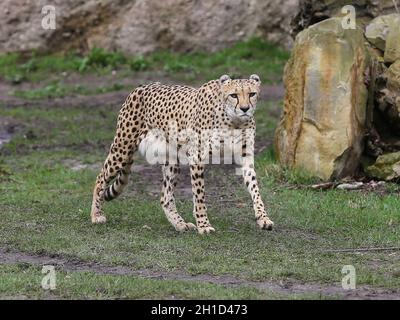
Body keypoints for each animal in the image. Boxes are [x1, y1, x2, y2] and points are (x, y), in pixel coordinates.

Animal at [90, 74, 274, 234]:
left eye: (252, 94)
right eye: (234, 95)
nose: (245, 108)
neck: (233, 121)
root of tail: (142, 86)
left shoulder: (246, 156)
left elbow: (254, 188)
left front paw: (263, 218)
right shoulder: (197, 157)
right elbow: (199, 195)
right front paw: (203, 225)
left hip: (171, 159)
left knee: (165, 197)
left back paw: (180, 224)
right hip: (122, 148)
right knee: (100, 177)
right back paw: (96, 215)